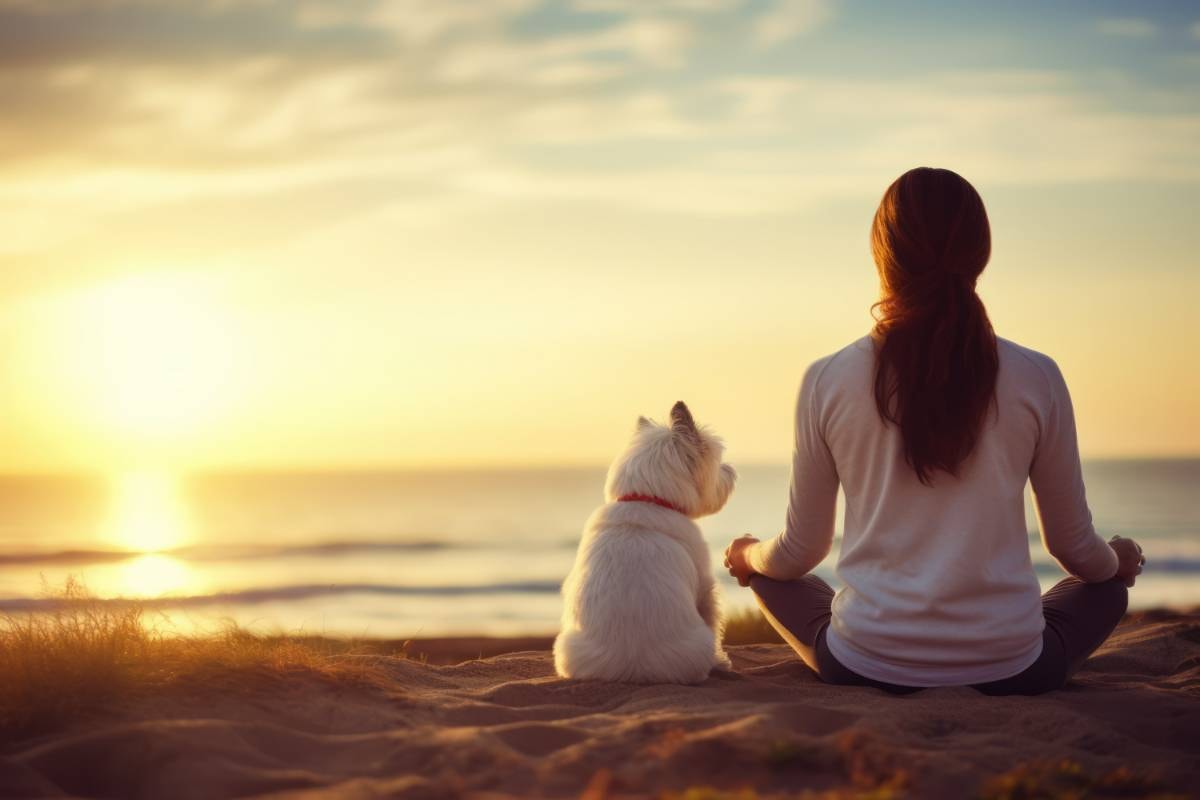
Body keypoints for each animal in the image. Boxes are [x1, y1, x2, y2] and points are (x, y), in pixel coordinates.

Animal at [554, 402, 734, 686]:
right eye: (717, 464)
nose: (731, 471)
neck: (646, 499)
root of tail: (633, 670)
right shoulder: (705, 586)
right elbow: (714, 622)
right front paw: (721, 661)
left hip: (568, 648)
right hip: (697, 643)